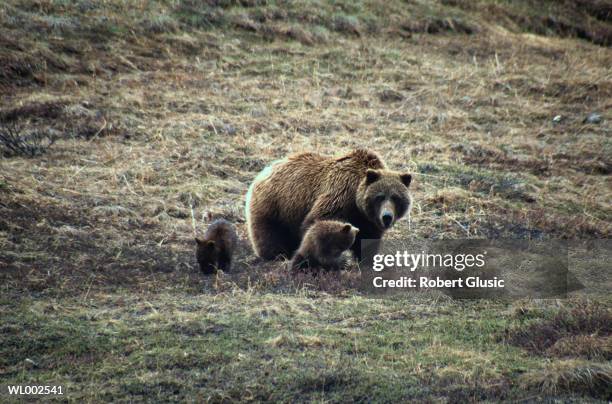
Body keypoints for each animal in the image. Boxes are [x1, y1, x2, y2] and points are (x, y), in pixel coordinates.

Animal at [244, 150, 412, 260]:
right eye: (380, 197)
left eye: (396, 198)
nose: (387, 216)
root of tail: (264, 171)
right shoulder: (340, 195)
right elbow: (317, 222)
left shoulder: (369, 221)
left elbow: (368, 240)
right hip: (275, 205)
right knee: (269, 235)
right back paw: (276, 256)